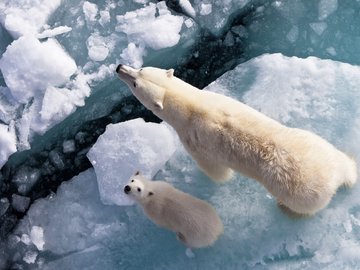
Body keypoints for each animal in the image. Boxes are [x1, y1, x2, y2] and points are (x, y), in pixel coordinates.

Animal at [116, 63, 358, 215]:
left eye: (136, 82)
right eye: (140, 69)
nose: (119, 67)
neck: (191, 106)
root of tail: (334, 177)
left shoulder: (194, 140)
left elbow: (215, 170)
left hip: (299, 192)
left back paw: (285, 208)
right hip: (315, 142)